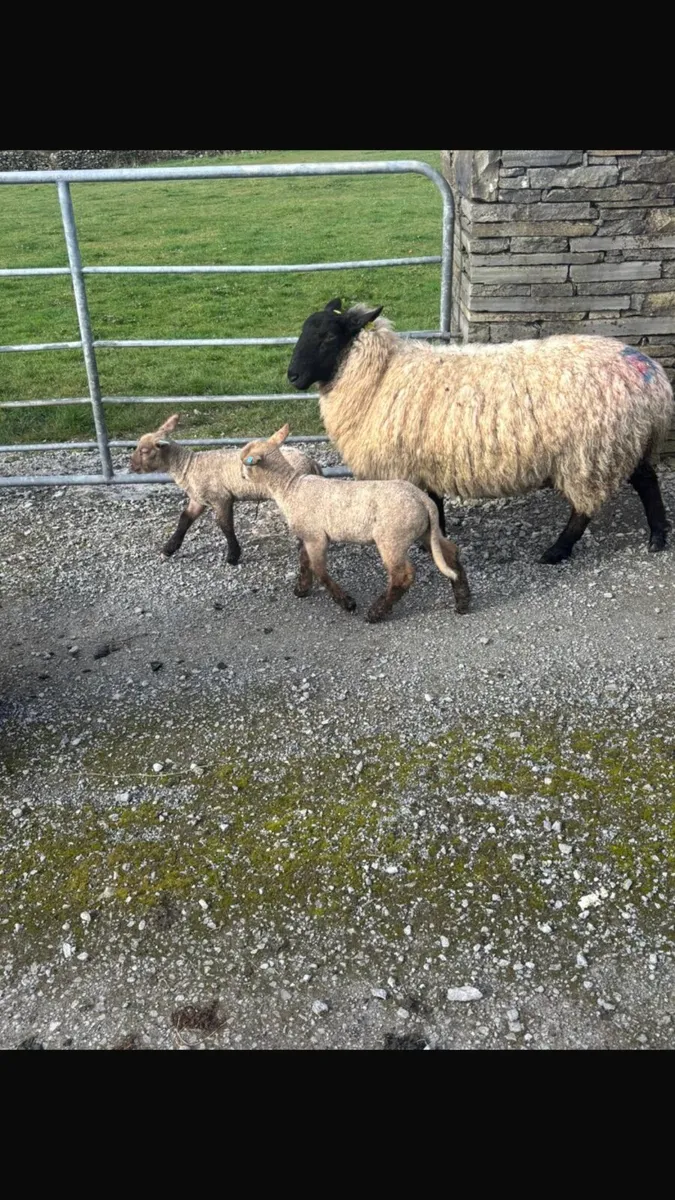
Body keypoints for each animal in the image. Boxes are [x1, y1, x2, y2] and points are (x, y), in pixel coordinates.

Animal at [129, 413, 322, 563]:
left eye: (145, 451)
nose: (132, 466)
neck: (188, 466)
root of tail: (312, 462)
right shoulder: (198, 500)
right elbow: (184, 519)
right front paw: (169, 548)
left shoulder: (221, 498)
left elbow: (226, 526)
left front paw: (233, 556)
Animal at [239, 423, 470, 623]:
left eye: (244, 461)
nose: (241, 476)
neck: (289, 488)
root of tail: (424, 501)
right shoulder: (307, 535)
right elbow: (305, 562)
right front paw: (301, 589)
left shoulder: (316, 536)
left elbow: (319, 569)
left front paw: (346, 602)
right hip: (426, 531)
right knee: (450, 552)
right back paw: (463, 601)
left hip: (392, 537)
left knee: (403, 575)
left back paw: (376, 613)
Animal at [287, 298, 674, 564]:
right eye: (303, 330)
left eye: (328, 337)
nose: (292, 376)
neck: (381, 375)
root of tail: (654, 376)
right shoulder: (424, 462)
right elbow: (435, 505)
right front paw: (437, 540)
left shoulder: (406, 464)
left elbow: (430, 506)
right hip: (624, 442)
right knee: (646, 480)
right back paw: (657, 537)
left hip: (591, 453)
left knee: (586, 508)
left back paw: (557, 550)